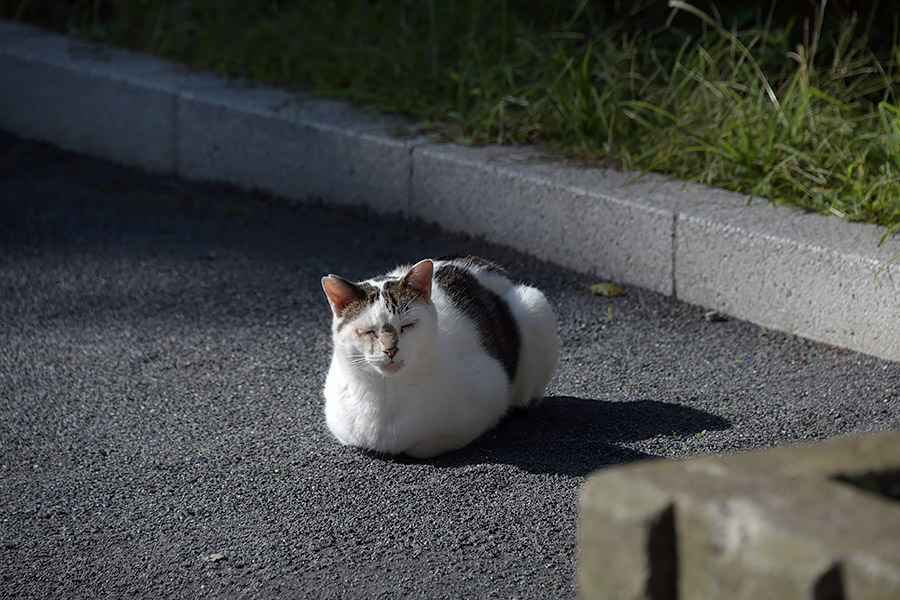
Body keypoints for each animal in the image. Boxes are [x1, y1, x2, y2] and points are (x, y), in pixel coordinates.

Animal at [320, 254, 560, 460]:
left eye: (407, 325)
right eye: (369, 331)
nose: (390, 350)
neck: (387, 393)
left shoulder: (491, 391)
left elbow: (428, 444)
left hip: (536, 306)